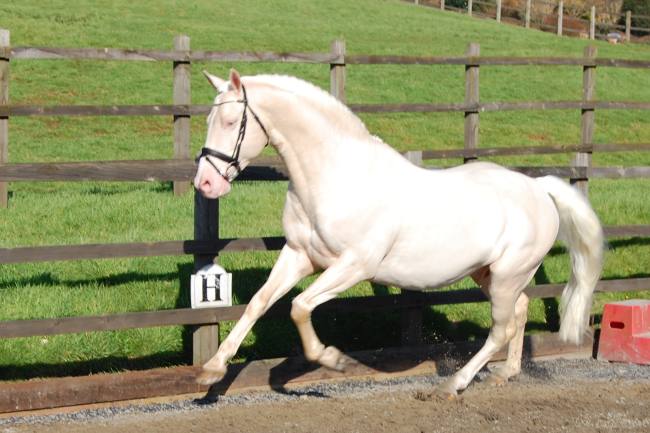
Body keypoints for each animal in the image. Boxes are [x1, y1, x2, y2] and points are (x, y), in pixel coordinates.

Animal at [192, 69, 604, 396]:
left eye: (230, 120)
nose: (206, 184)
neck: (337, 175)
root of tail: (539, 189)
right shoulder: (299, 255)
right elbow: (259, 303)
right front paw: (212, 370)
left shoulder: (355, 265)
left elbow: (300, 306)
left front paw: (332, 358)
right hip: (488, 274)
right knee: (519, 311)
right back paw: (505, 373)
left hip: (507, 276)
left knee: (500, 329)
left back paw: (453, 384)